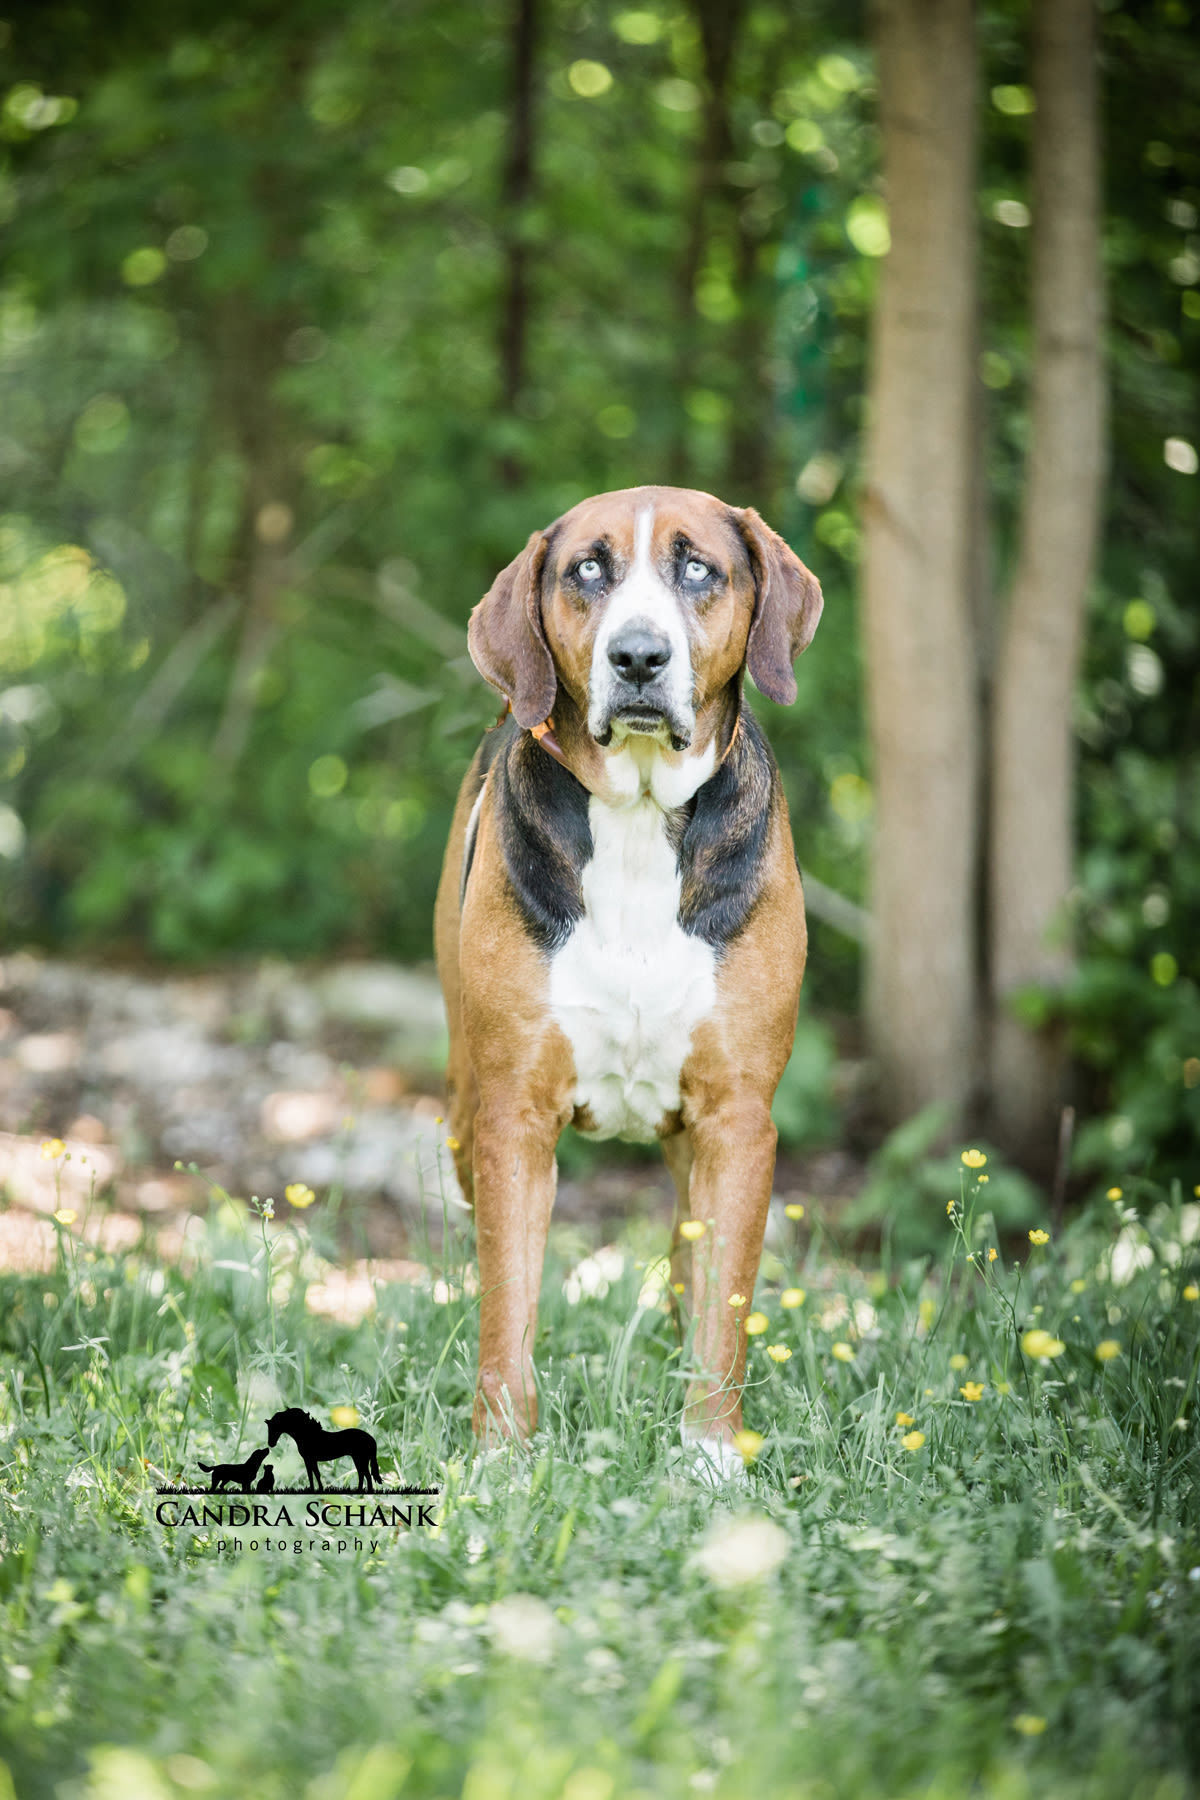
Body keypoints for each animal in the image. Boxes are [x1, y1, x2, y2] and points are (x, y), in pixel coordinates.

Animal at [437, 482, 820, 1476]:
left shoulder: (738, 1123)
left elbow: (723, 1310)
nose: (639, 656)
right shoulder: (512, 1118)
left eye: (698, 569)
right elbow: (508, 1304)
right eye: (587, 569)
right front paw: (501, 1458)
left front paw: (710, 1456)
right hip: (462, 1108)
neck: (643, 817)